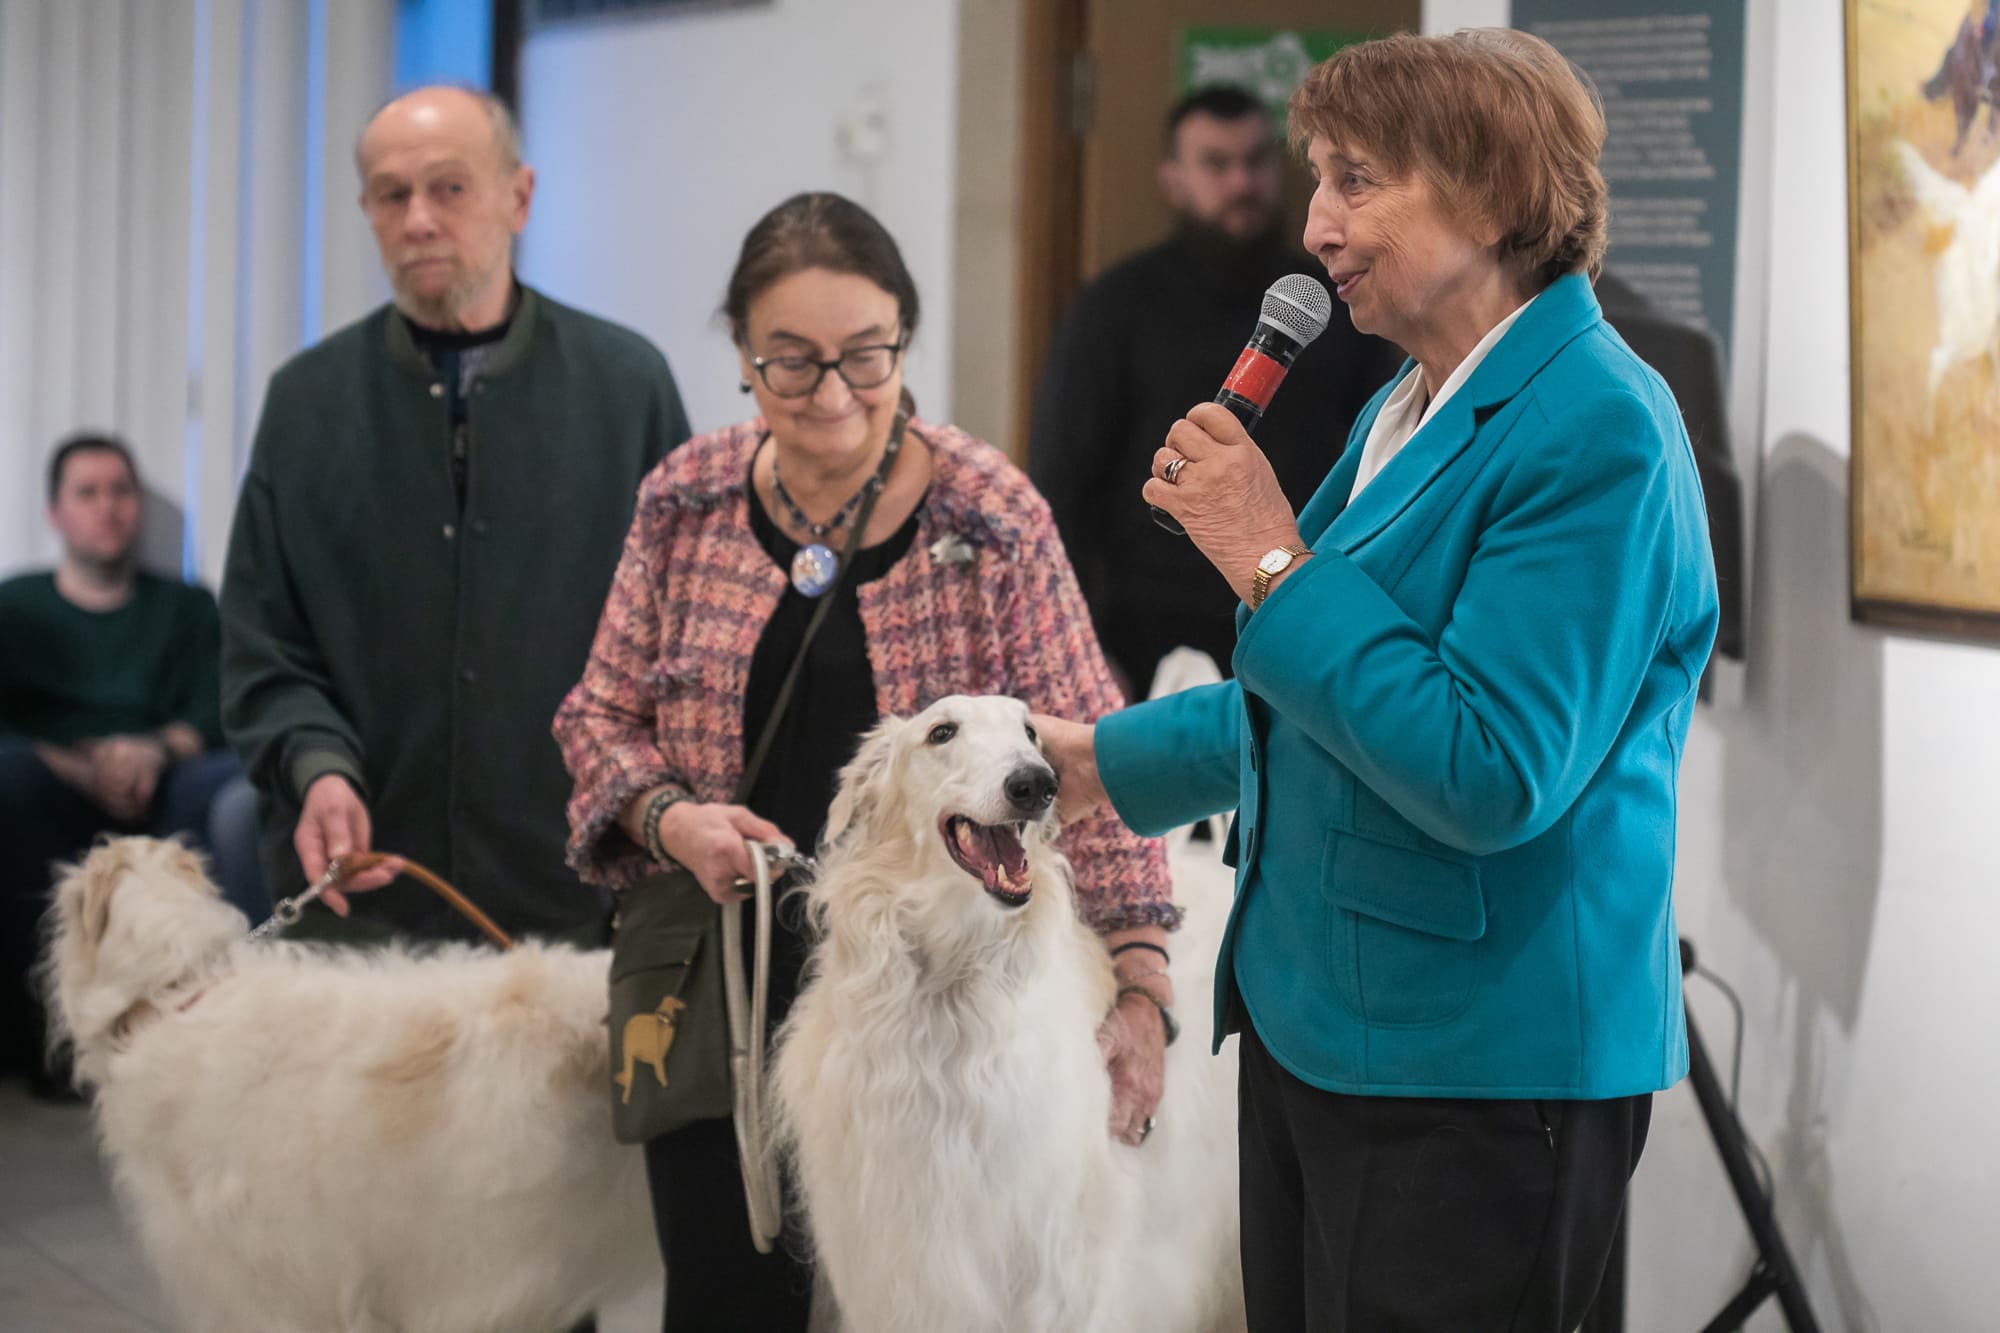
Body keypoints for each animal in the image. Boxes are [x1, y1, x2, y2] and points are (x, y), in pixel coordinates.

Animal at [772, 696, 1240, 1328]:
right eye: (941, 732)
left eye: (1030, 731)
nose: (1035, 784)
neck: (951, 992)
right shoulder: (897, 1266)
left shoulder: (1058, 1269)